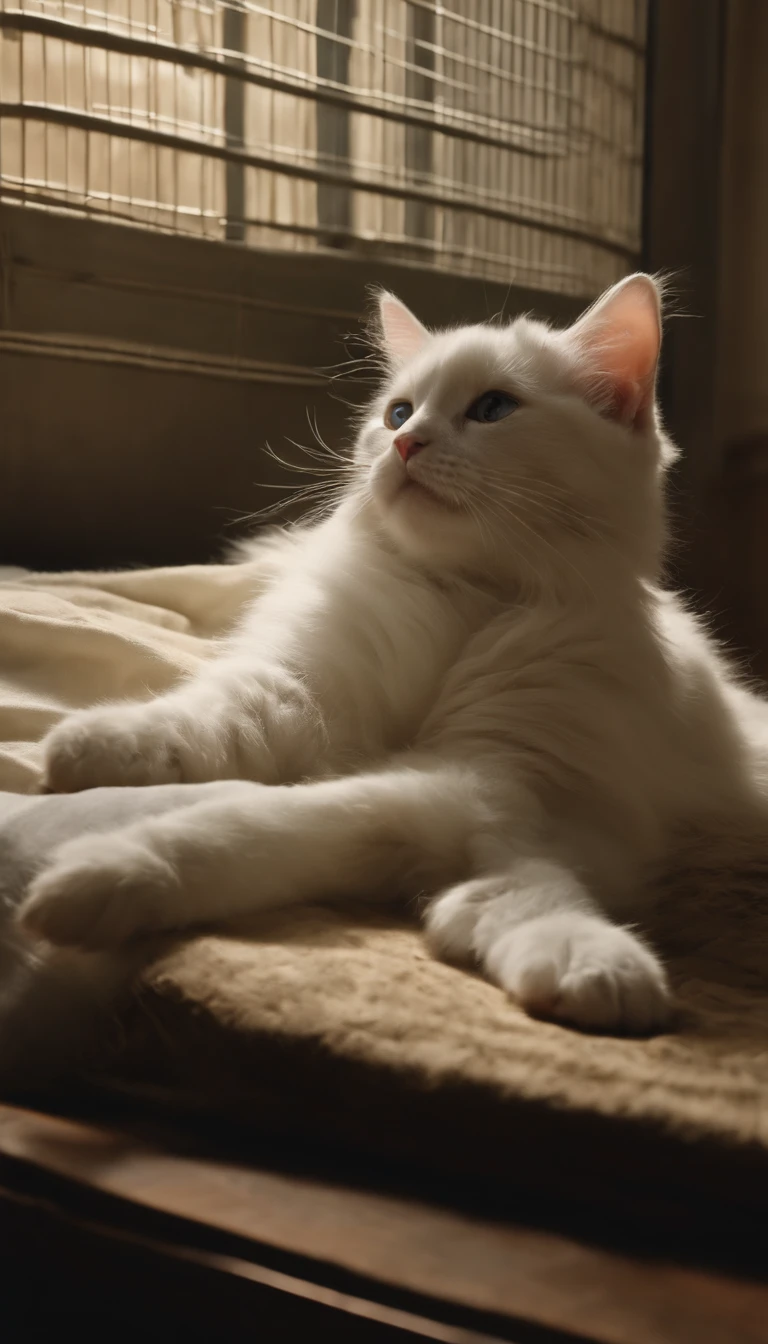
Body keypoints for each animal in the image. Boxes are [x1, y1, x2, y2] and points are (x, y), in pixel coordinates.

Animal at [15, 270, 768, 1026]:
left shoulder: (471, 779)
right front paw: (91, 748)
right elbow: (198, 721)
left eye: (493, 408)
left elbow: (259, 822)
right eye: (398, 413)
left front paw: (103, 875)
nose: (407, 444)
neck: (459, 600)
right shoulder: (307, 695)